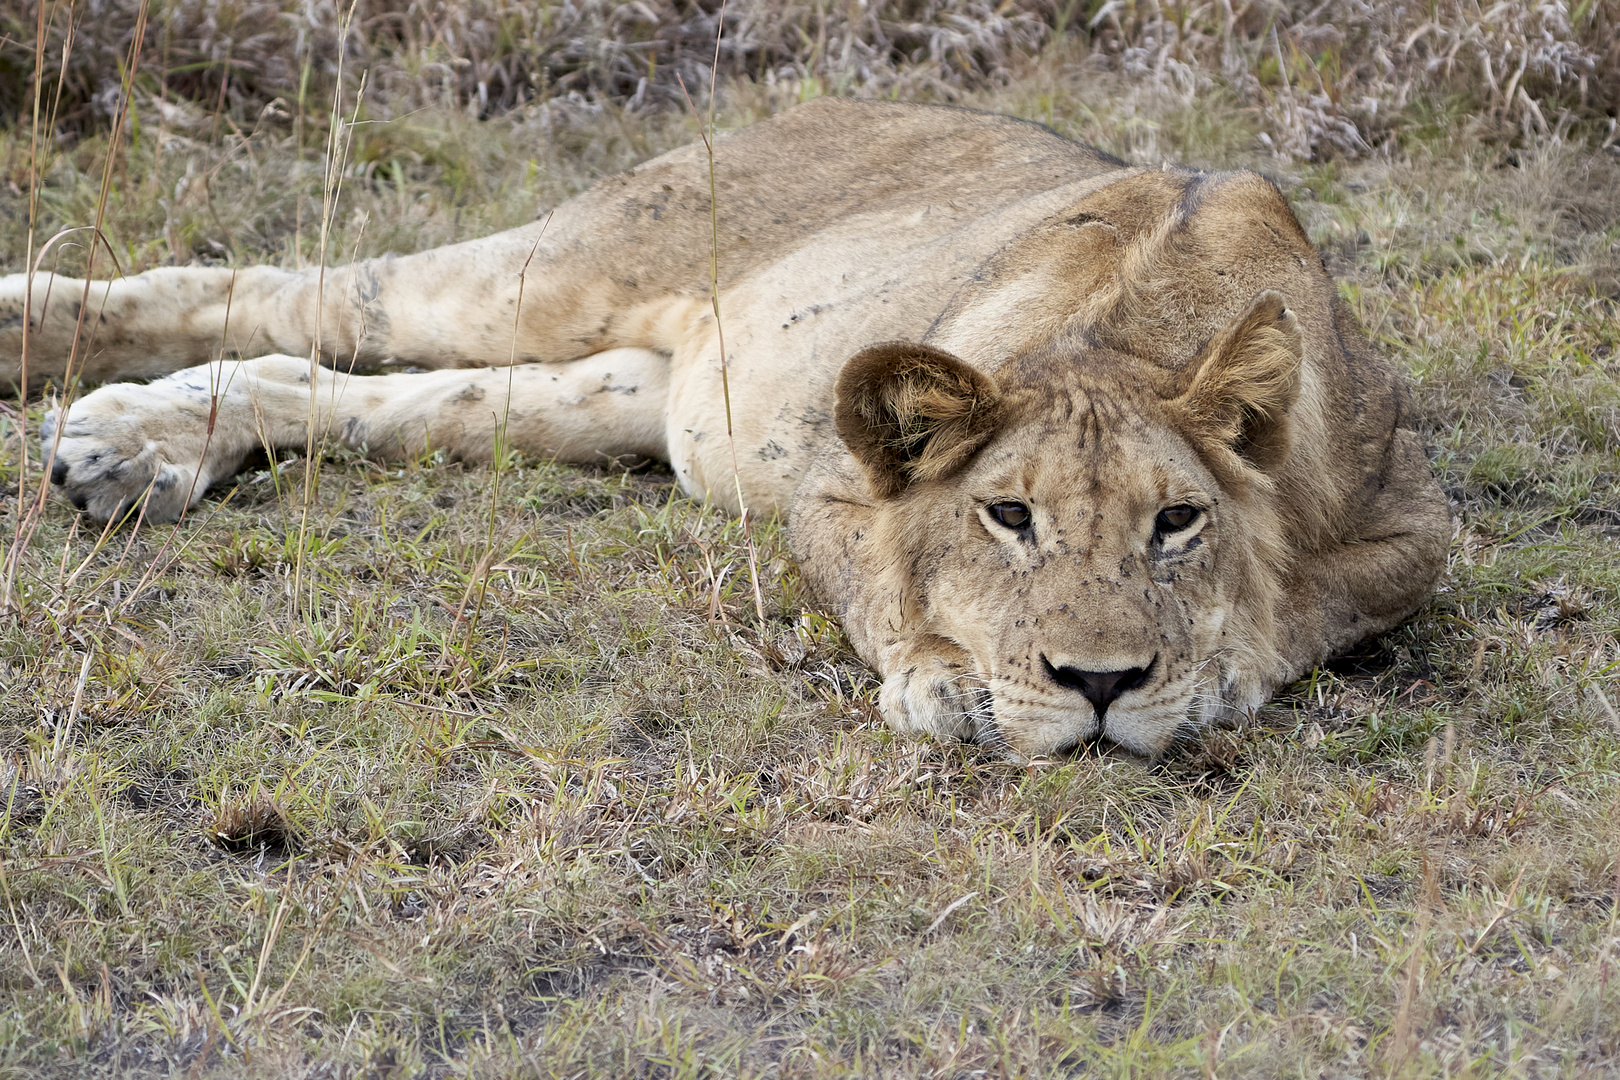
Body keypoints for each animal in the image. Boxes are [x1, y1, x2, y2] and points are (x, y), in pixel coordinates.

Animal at [0, 99, 1445, 761]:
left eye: (1177, 523)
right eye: (1008, 516)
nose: (1097, 687)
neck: (1145, 329)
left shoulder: (1412, 532)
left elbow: (1316, 607)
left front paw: (1212, 670)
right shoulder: (834, 489)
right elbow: (884, 589)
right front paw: (947, 682)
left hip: (634, 397)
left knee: (348, 387)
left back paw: (133, 449)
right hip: (562, 266)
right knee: (288, 291)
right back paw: (49, 350)